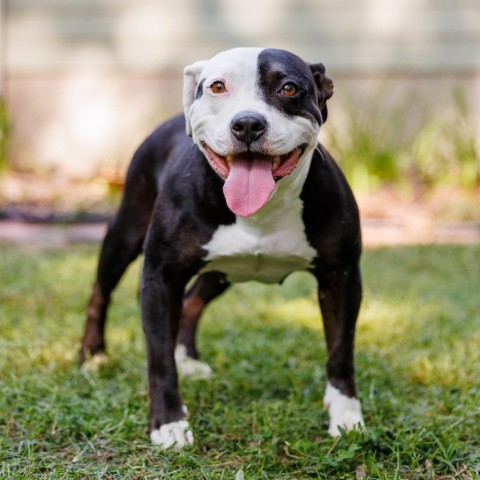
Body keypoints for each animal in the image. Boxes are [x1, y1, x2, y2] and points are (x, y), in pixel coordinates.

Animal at [79, 47, 364, 448]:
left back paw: (186, 359)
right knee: (101, 291)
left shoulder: (342, 277)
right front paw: (168, 423)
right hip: (126, 231)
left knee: (191, 302)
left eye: (289, 88)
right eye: (217, 87)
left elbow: (341, 350)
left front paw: (346, 414)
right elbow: (158, 359)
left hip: (221, 273)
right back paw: (92, 354)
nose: (247, 124)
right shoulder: (160, 275)